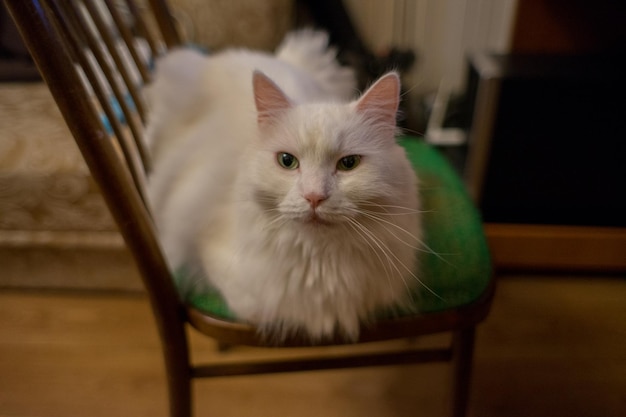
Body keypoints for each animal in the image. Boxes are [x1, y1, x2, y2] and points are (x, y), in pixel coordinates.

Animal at [144, 30, 422, 340]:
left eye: (348, 163)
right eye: (287, 161)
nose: (314, 197)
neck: (320, 263)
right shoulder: (211, 253)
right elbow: (257, 306)